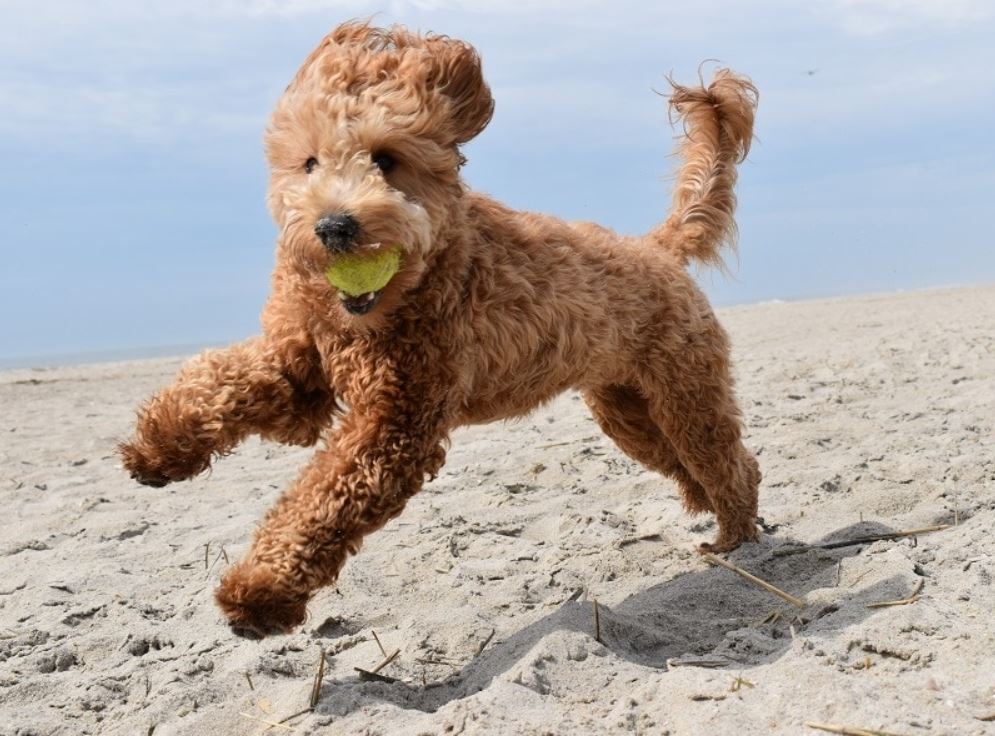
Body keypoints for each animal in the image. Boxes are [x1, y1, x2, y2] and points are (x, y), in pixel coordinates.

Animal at [120, 20, 760, 636]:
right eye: (309, 163)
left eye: (385, 158)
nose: (334, 227)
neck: (383, 304)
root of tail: (656, 247)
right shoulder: (300, 366)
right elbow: (220, 381)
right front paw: (158, 446)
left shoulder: (395, 423)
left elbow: (321, 501)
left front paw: (260, 592)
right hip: (628, 409)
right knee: (689, 463)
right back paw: (709, 512)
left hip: (685, 393)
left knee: (730, 461)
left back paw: (735, 537)